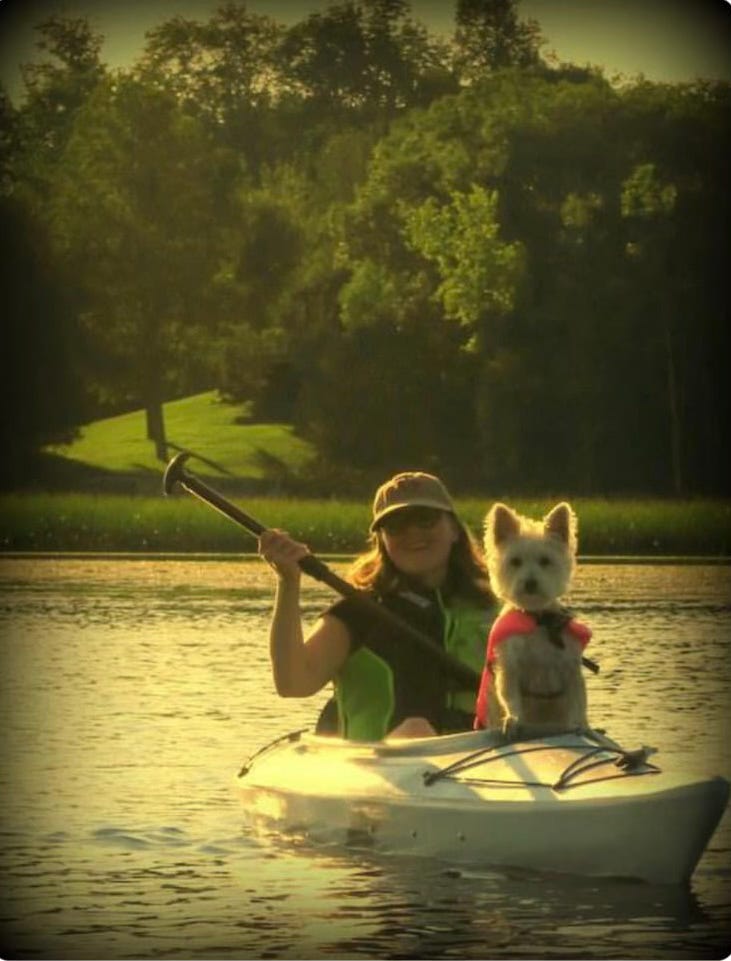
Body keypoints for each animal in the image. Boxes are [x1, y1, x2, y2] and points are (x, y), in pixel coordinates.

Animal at [474, 502, 596, 736]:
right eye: (515, 561)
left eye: (545, 561)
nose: (530, 583)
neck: (537, 619)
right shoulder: (510, 666)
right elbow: (511, 696)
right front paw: (513, 720)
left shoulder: (569, 668)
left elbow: (577, 699)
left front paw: (580, 724)